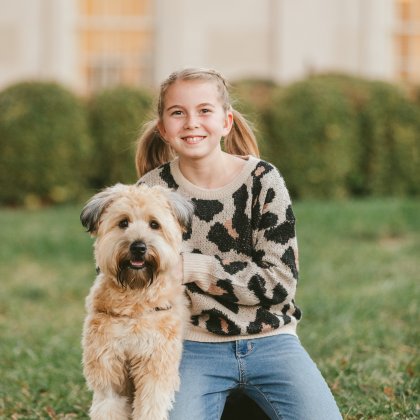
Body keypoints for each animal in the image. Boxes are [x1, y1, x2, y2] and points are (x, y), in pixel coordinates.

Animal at [79, 185, 194, 420]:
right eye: (123, 222)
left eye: (154, 224)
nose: (138, 247)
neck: (134, 301)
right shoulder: (108, 368)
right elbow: (109, 406)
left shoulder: (155, 365)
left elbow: (150, 406)